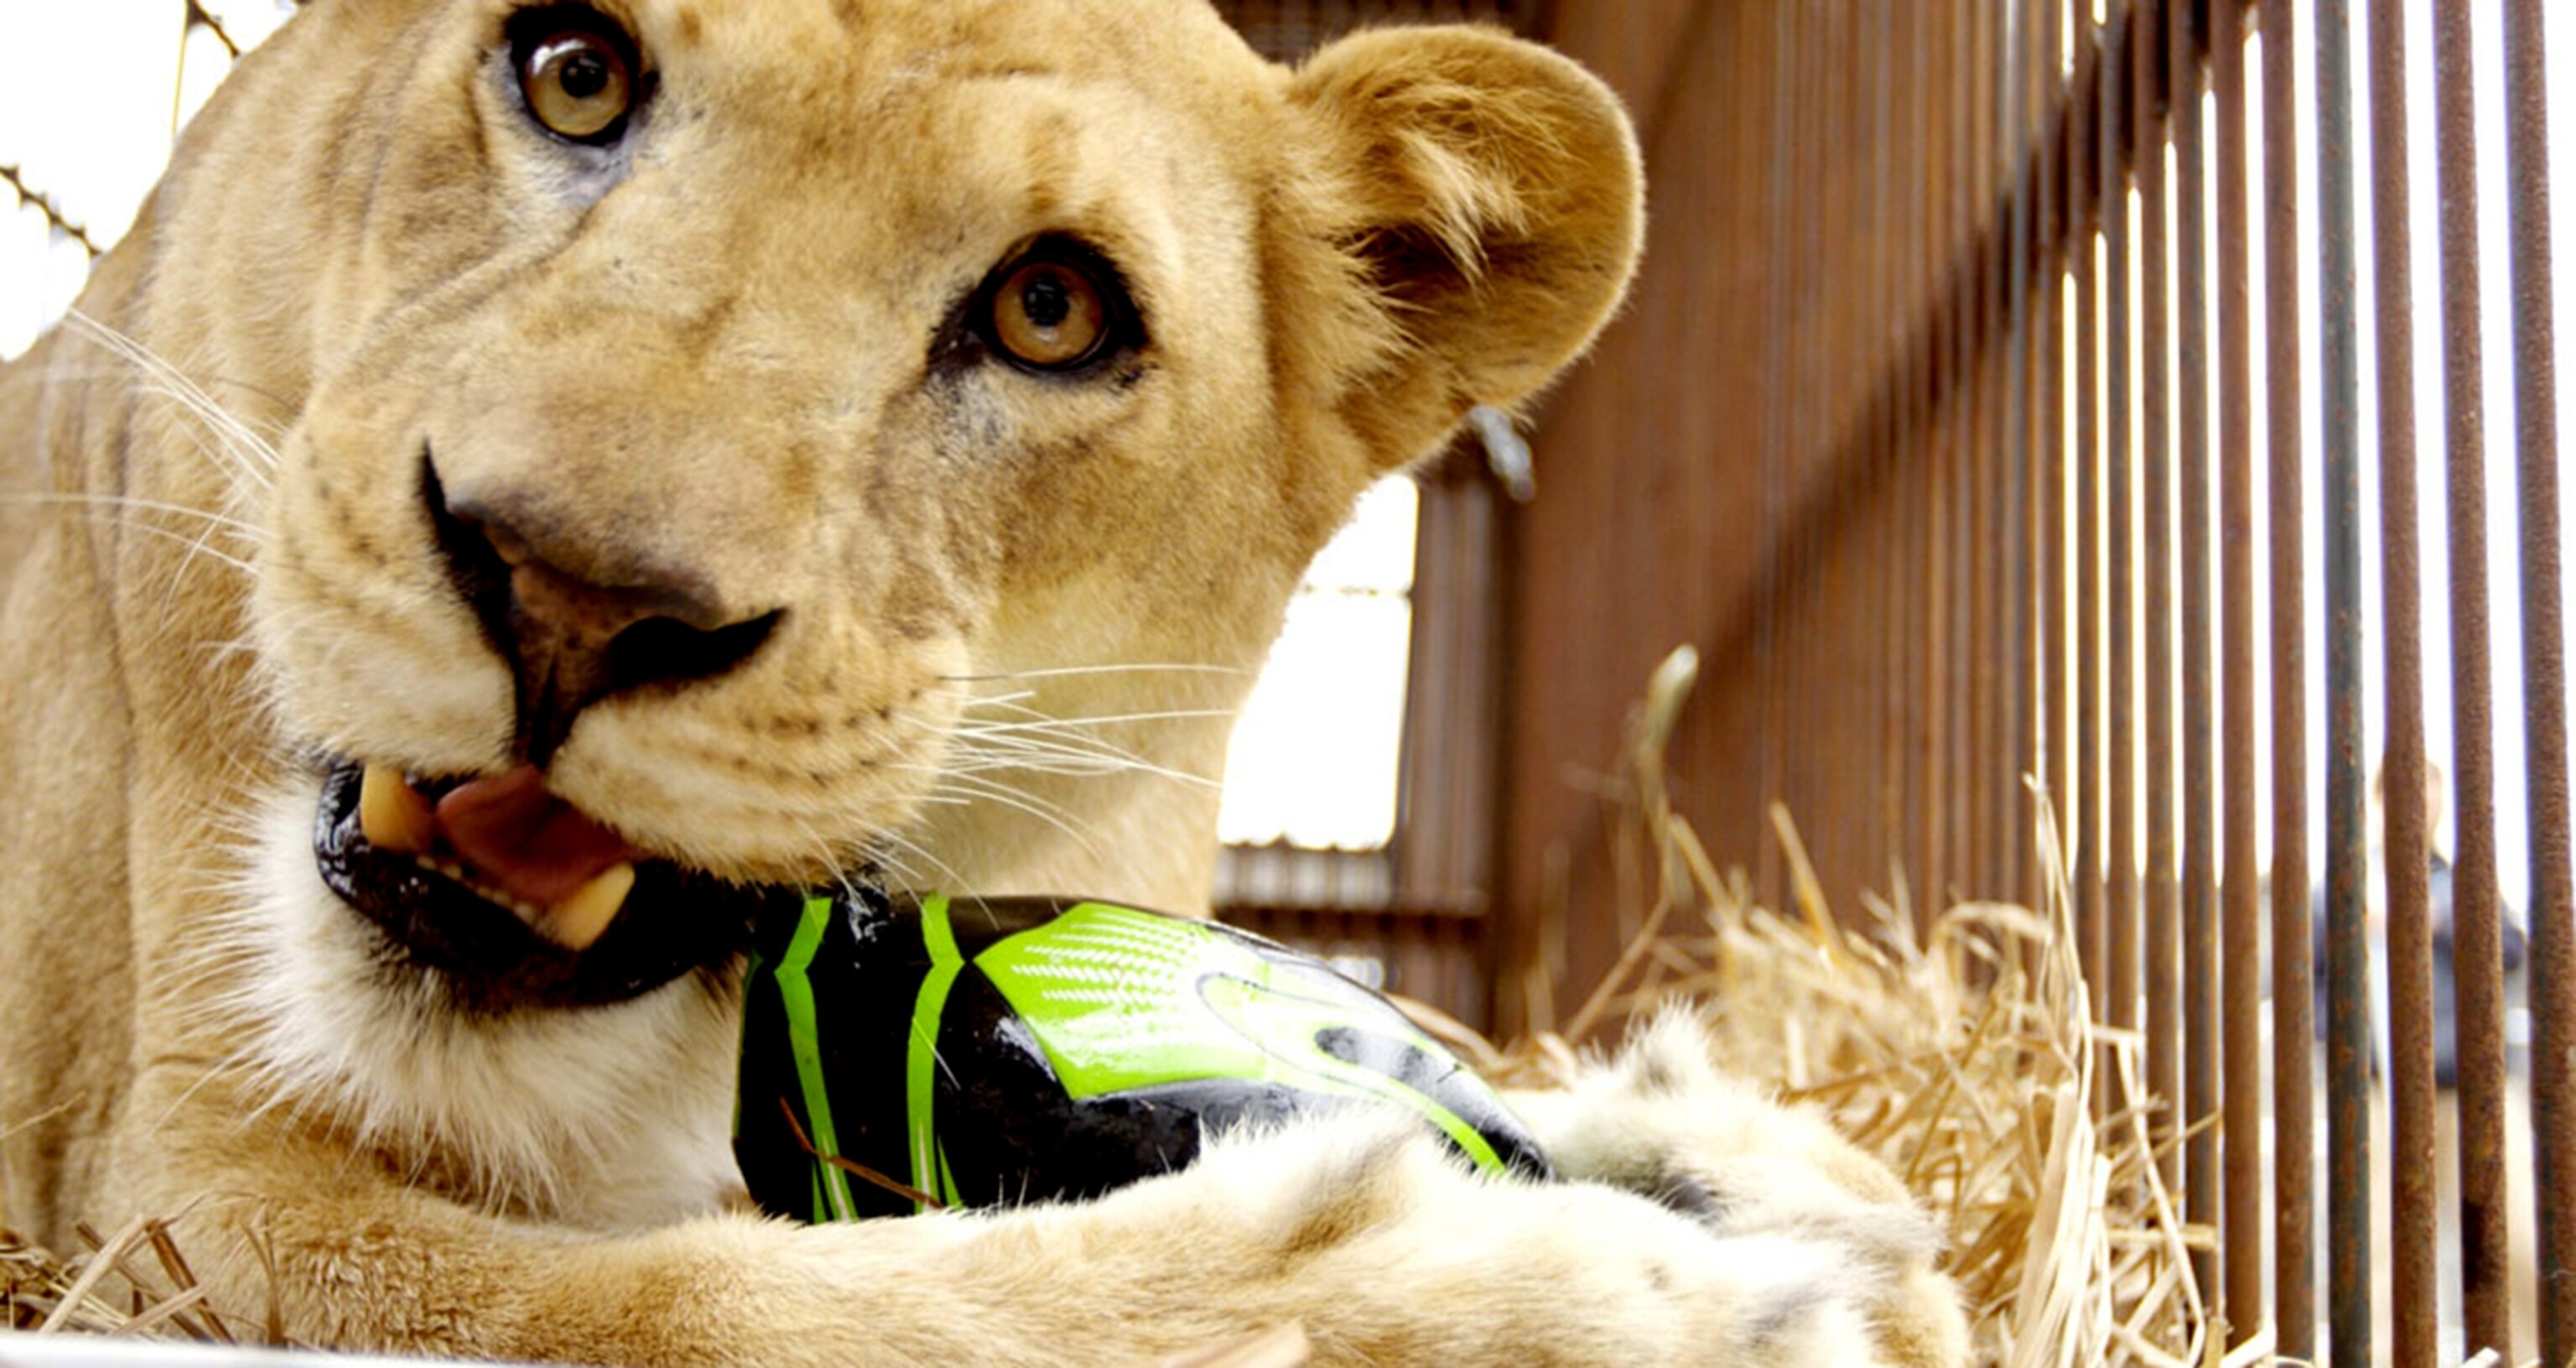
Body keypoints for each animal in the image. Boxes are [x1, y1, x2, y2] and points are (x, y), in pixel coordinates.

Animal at [0, 2, 1968, 1364]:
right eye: (573, 71)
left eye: (1048, 310)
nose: (568, 591)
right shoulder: (193, 1185)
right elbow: (700, 1305)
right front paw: (1573, 1298)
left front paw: (1772, 1180)